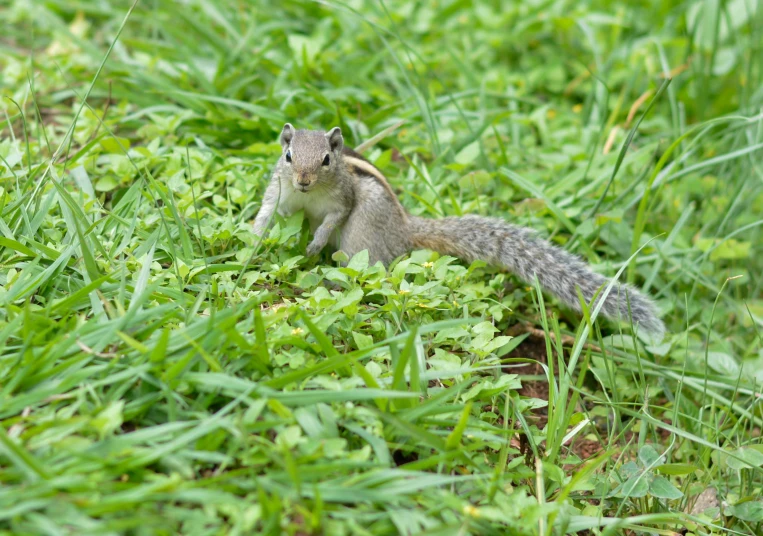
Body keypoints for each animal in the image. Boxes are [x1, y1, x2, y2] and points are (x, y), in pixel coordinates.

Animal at [254, 123, 664, 338]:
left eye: (326, 160)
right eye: (289, 156)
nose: (304, 180)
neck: (309, 195)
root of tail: (405, 229)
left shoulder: (344, 198)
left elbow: (333, 218)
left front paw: (315, 243)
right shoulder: (280, 191)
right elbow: (267, 212)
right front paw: (256, 239)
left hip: (363, 232)